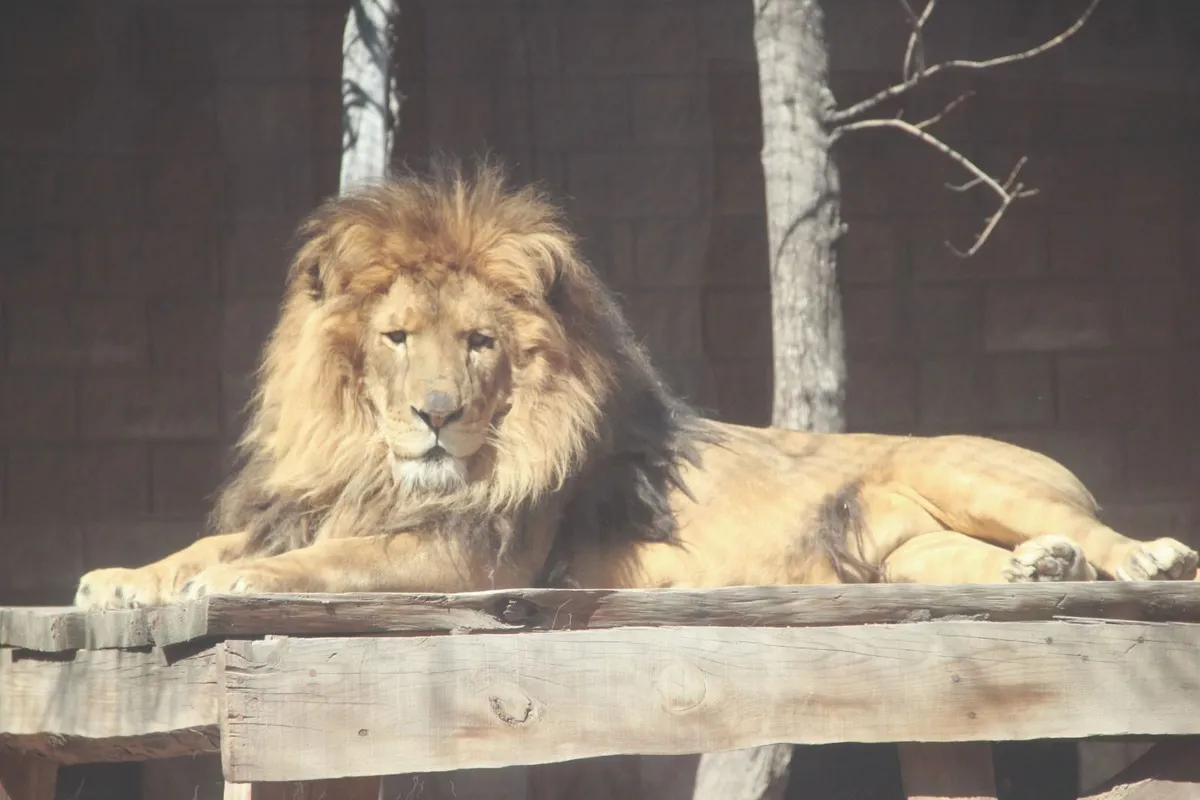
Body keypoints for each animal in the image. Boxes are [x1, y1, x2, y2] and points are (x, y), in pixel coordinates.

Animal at [74, 161, 1198, 610]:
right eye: (396, 338)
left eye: (479, 343)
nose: (436, 417)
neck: (373, 461)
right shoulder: (312, 501)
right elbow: (211, 545)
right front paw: (120, 577)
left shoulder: (470, 555)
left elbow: (323, 562)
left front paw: (234, 585)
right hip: (906, 554)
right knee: (982, 562)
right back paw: (1042, 572)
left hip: (977, 475)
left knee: (1097, 529)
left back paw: (1133, 554)